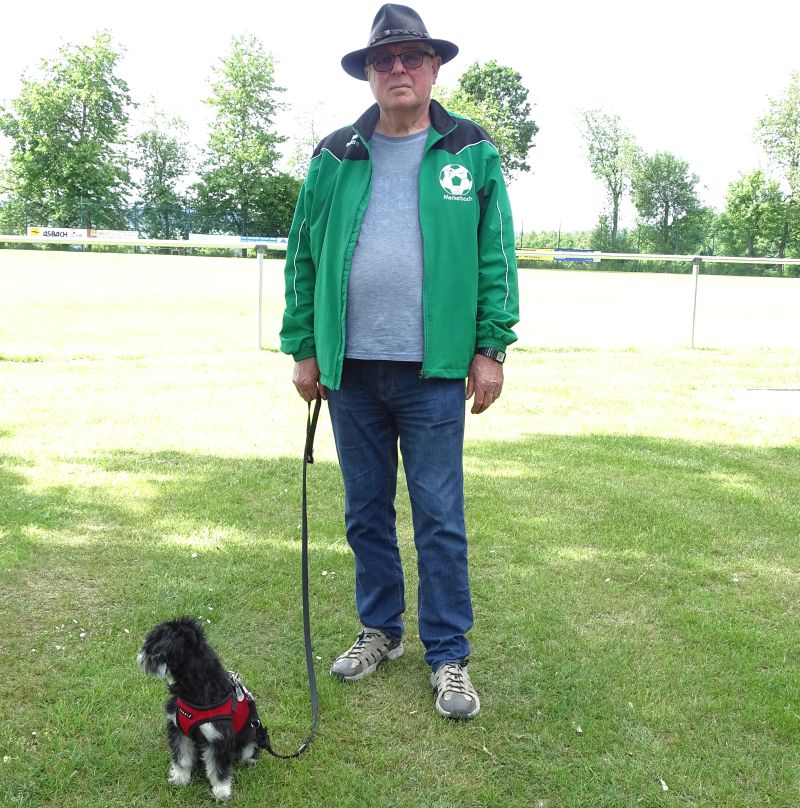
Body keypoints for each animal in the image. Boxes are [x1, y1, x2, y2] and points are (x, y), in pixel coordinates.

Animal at [136, 620, 264, 800]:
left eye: (149, 645)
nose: (139, 656)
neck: (196, 687)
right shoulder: (179, 731)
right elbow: (181, 758)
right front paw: (180, 778)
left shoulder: (219, 738)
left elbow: (219, 769)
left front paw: (221, 791)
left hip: (251, 740)